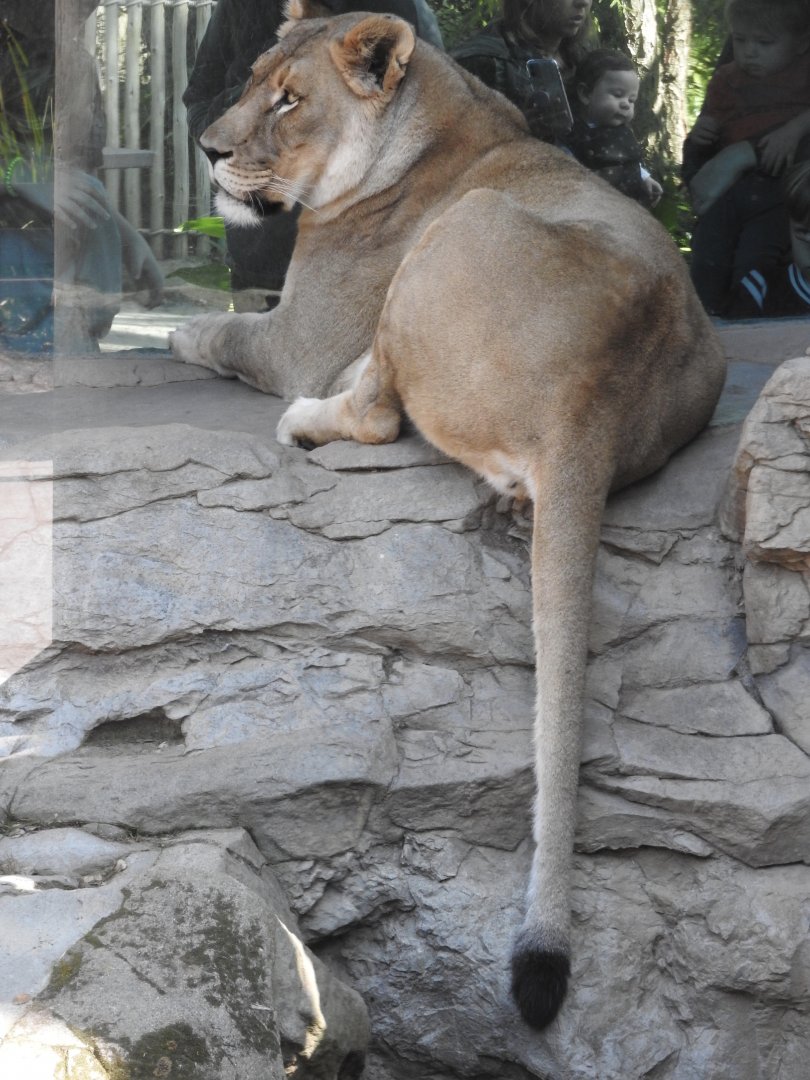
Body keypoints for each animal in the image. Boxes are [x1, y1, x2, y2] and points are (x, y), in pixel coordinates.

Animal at [171, 0, 727, 1030]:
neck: (436, 112)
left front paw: (173, 324)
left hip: (448, 243)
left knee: (375, 414)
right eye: (251, 78)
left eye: (290, 99)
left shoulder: (299, 338)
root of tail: (592, 396)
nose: (208, 148)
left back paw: (309, 420)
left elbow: (219, 325)